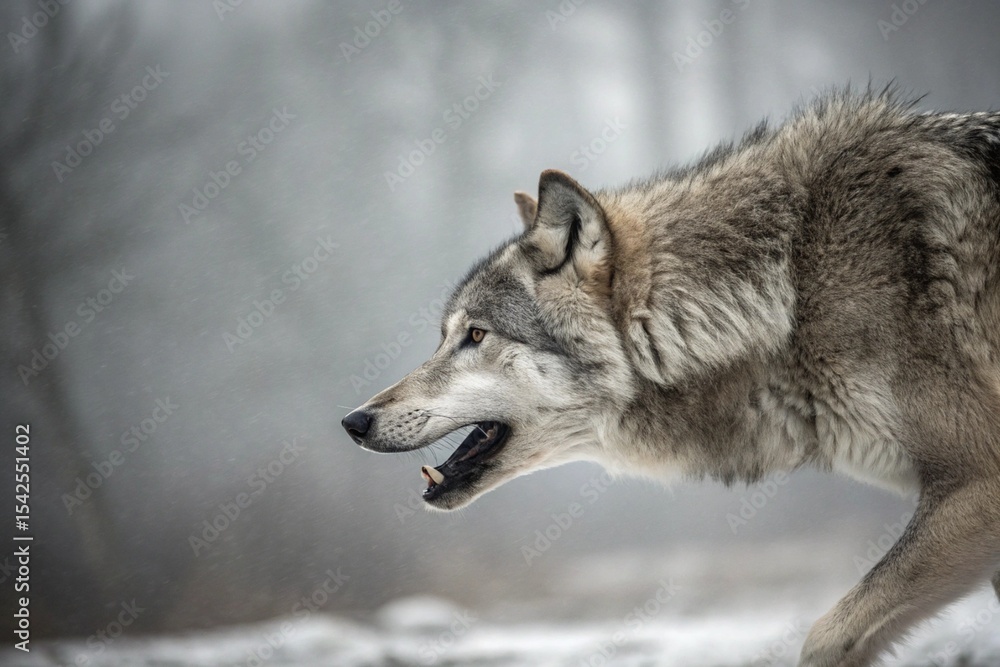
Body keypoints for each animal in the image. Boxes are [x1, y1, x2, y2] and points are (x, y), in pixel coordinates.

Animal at [344, 90, 1000, 666]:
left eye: (476, 336)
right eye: (445, 336)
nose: (353, 421)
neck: (789, 287)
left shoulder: (977, 483)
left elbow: (823, 637)